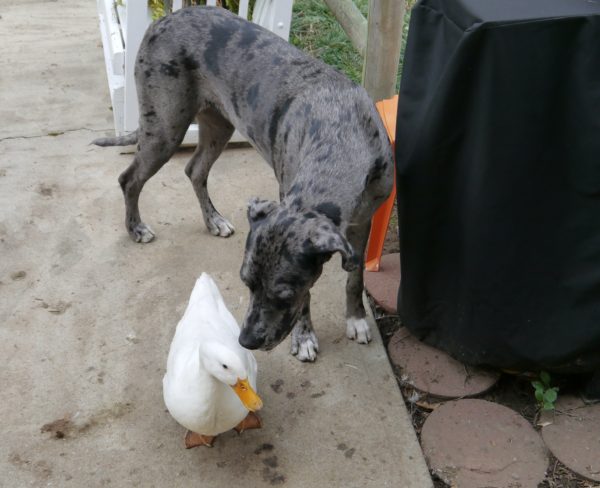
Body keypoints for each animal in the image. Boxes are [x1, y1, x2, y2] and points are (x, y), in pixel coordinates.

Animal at [94, 5, 394, 360]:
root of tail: (163, 20)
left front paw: (356, 319)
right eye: (245, 282)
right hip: (165, 128)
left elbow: (355, 275)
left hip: (218, 124)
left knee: (194, 170)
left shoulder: (363, 220)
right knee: (129, 178)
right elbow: (311, 295)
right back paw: (136, 228)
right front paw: (305, 337)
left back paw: (213, 220)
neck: (340, 134)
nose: (246, 341)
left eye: (282, 295)